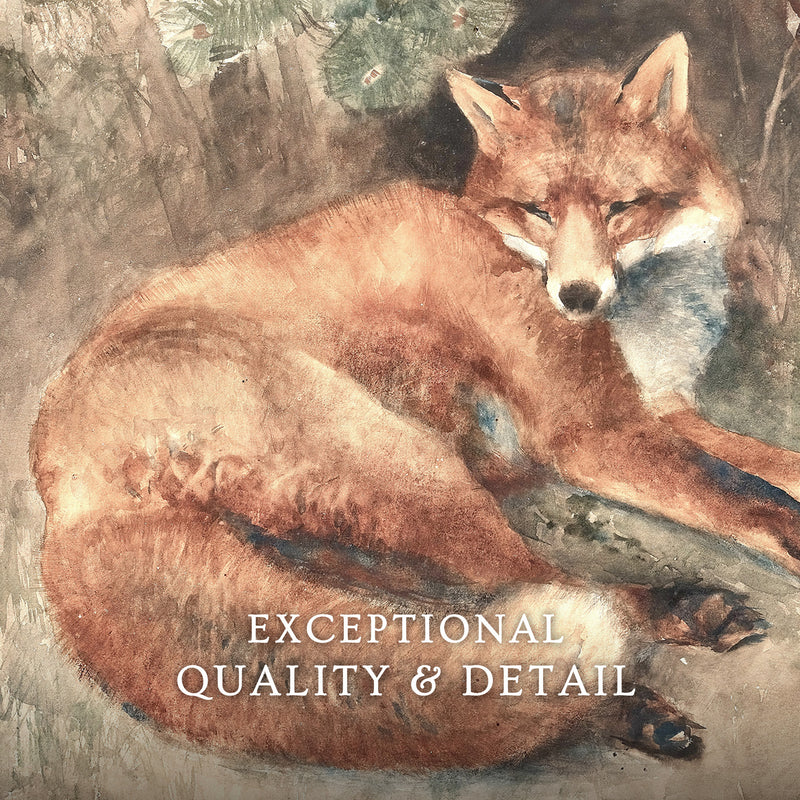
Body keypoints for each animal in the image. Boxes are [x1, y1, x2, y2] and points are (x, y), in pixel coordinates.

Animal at [30, 33, 800, 769]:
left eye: (621, 207)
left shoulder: (658, 410)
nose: (577, 296)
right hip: (411, 467)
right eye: (539, 211)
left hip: (357, 535)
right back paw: (668, 638)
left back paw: (629, 703)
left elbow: (766, 466)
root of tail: (57, 483)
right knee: (555, 592)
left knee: (454, 613)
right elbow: (744, 500)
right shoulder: (594, 434)